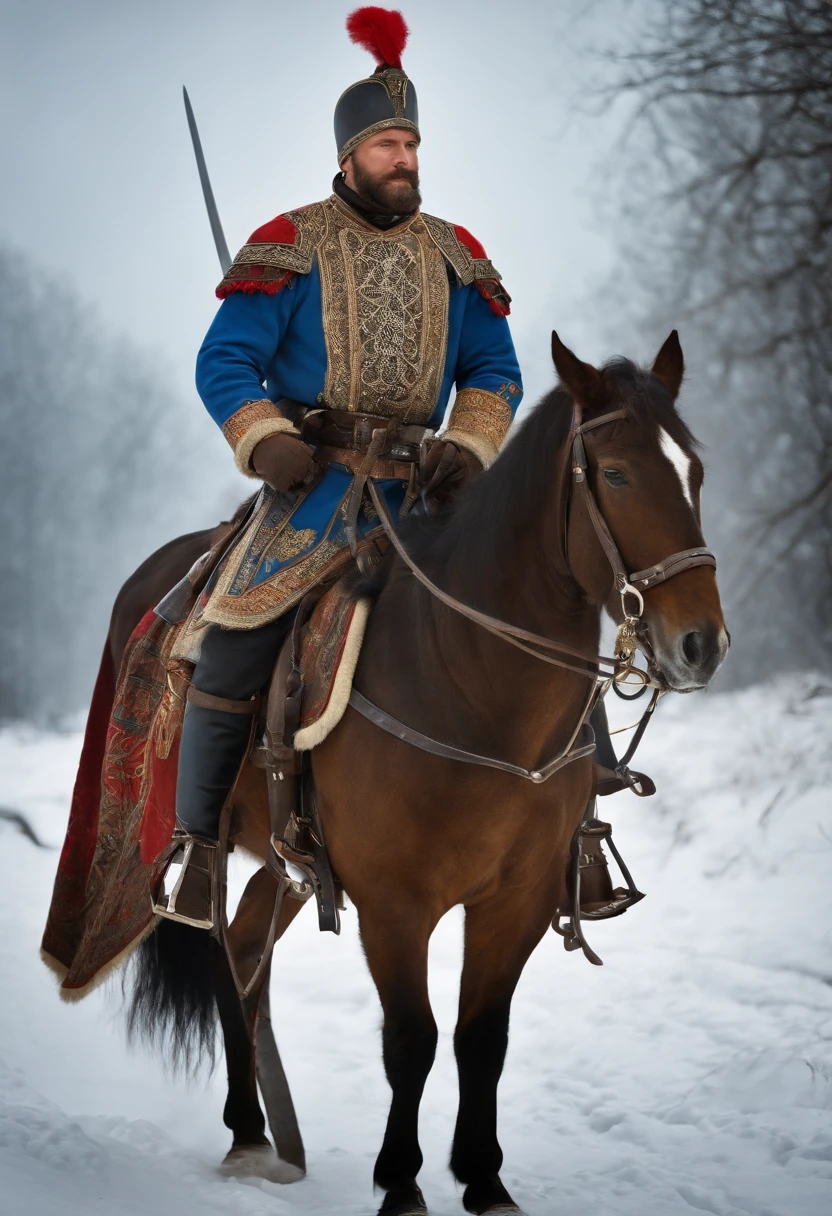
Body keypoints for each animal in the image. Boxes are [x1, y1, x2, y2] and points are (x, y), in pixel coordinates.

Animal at [120, 333, 724, 1216]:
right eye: (615, 474)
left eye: (695, 471)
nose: (701, 645)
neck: (468, 683)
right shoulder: (394, 905)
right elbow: (413, 1039)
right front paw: (402, 1182)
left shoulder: (516, 900)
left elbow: (481, 1037)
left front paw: (484, 1179)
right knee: (222, 944)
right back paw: (249, 1132)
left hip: (288, 864)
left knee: (246, 952)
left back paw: (260, 1133)